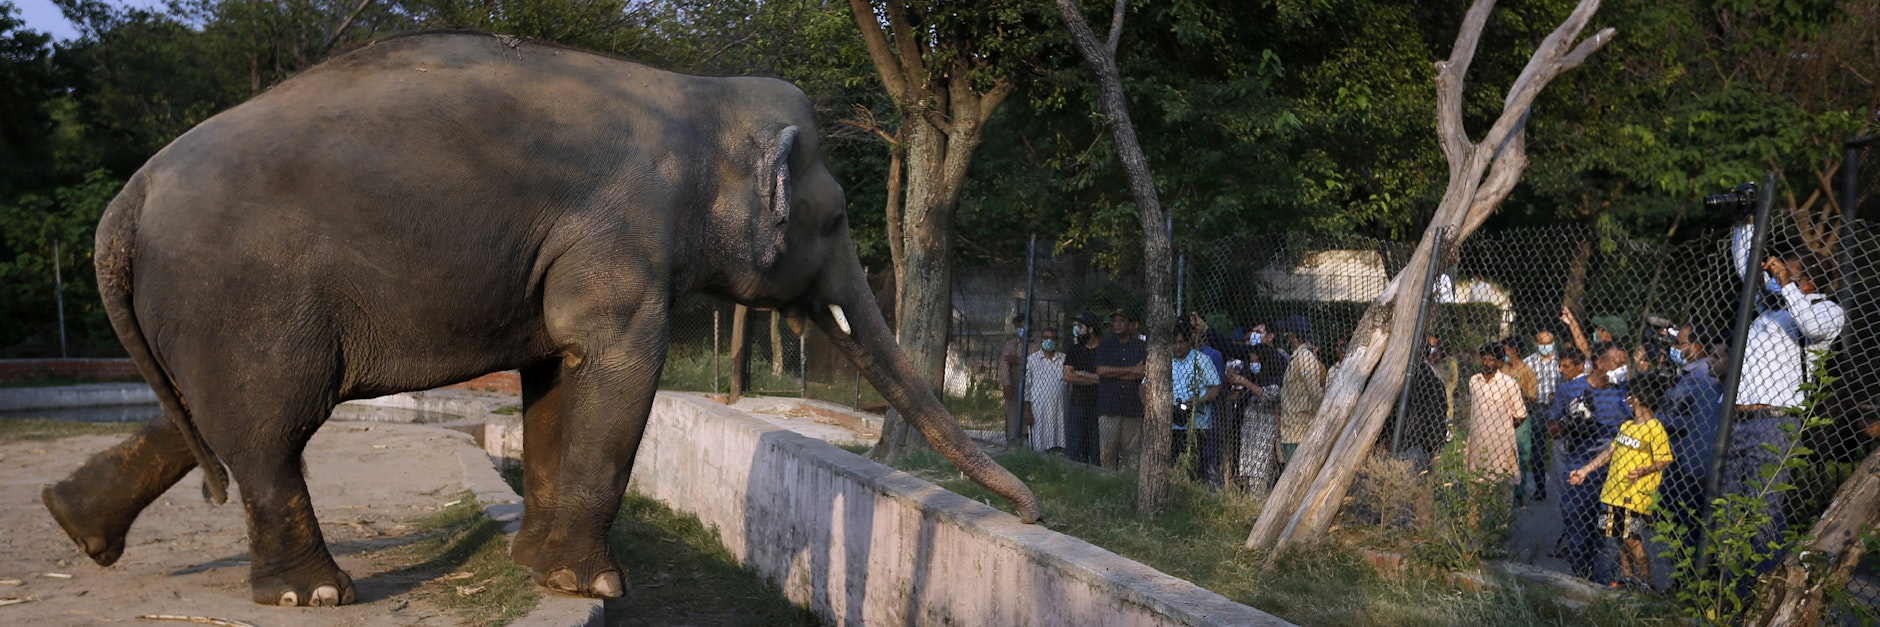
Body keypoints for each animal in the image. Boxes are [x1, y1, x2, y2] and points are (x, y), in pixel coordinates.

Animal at [40, 31, 1041, 607]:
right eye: (831, 223)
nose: (1030, 512)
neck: (698, 98)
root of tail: (125, 203)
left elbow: (557, 370)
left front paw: (537, 570)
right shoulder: (623, 237)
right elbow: (616, 367)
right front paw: (596, 583)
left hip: (204, 309)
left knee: (211, 416)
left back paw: (72, 524)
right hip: (246, 297)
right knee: (272, 426)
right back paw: (315, 595)